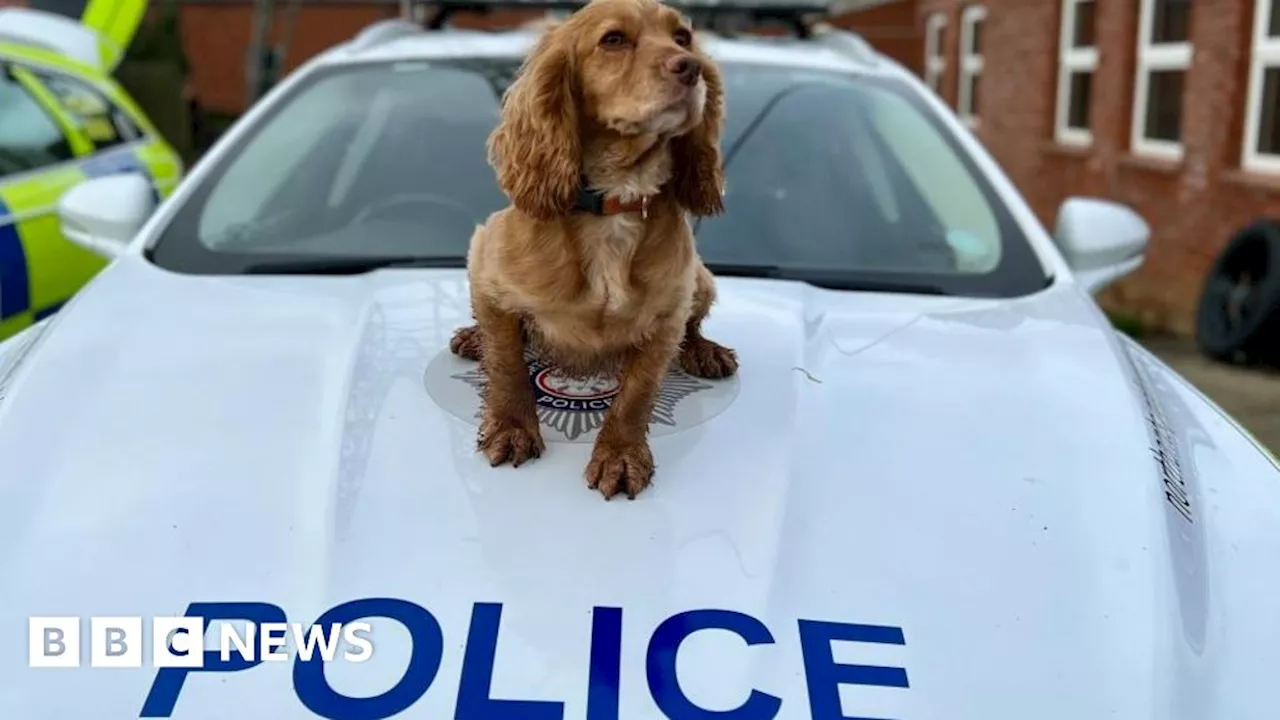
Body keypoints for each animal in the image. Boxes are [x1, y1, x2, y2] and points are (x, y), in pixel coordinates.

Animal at [450, 0, 737, 499]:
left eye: (682, 37)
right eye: (613, 40)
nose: (692, 67)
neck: (616, 197)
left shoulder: (667, 315)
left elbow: (637, 394)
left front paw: (620, 455)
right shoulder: (485, 263)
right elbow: (506, 361)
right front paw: (512, 427)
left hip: (701, 280)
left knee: (694, 325)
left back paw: (706, 350)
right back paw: (472, 337)